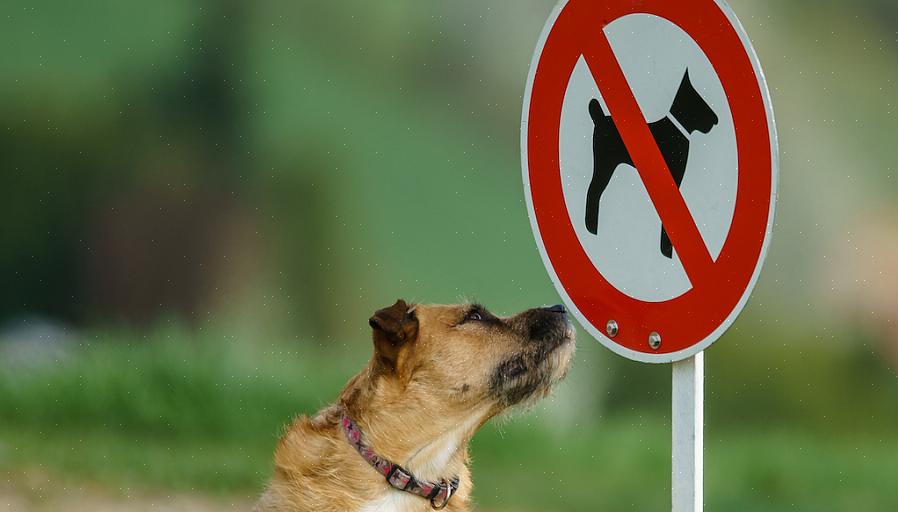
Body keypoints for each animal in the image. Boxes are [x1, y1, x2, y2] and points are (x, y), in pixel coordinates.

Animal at [584, 70, 716, 258]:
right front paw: (667, 251)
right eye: (696, 100)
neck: (677, 128)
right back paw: (592, 230)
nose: (716, 120)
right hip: (605, 164)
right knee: (593, 191)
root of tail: (600, 118)